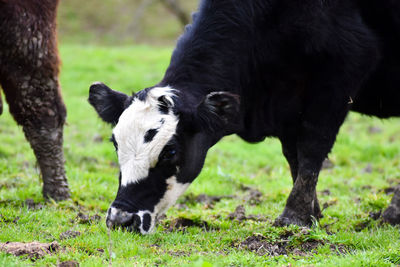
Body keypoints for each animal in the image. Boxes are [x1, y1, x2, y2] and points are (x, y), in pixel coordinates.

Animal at [89, 0, 400, 234]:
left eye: (170, 151)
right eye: (115, 144)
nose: (120, 219)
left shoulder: (343, 70)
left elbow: (312, 148)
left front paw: (294, 218)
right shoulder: (288, 109)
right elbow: (294, 158)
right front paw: (312, 214)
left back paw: (391, 214)